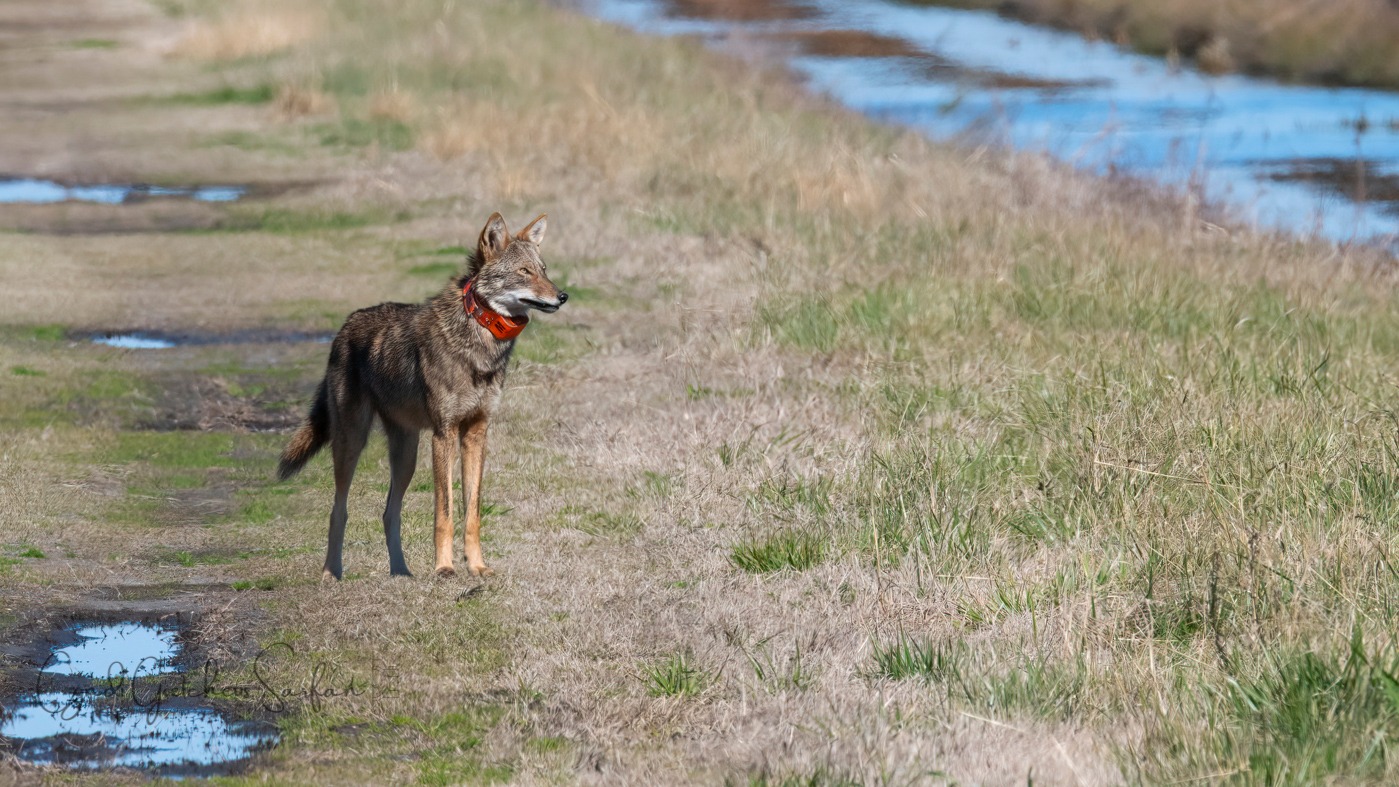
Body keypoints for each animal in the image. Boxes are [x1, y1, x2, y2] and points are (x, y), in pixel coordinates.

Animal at [277, 212, 567, 580]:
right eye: (524, 272)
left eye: (543, 269)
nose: (563, 296)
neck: (479, 339)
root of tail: (344, 328)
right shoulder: (444, 434)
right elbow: (444, 513)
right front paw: (444, 568)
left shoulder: (476, 433)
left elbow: (472, 514)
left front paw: (477, 567)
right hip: (352, 443)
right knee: (338, 510)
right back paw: (332, 573)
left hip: (406, 456)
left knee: (389, 512)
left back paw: (401, 571)